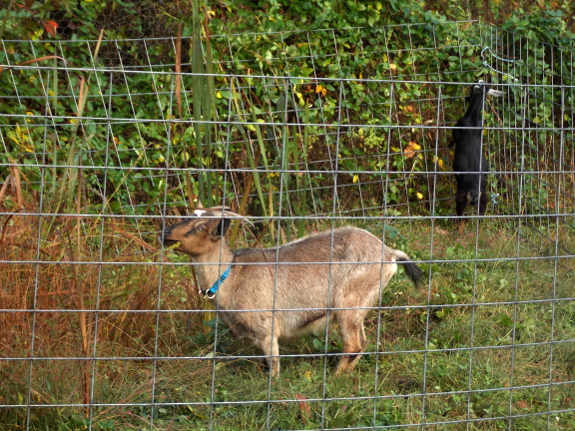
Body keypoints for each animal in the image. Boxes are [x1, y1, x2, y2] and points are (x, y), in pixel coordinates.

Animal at [162, 208, 424, 376]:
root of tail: (389, 253)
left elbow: (273, 365)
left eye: (200, 227)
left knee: (352, 346)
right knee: (362, 344)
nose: (165, 232)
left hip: (348, 302)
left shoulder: (266, 327)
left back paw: (334, 381)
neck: (231, 274)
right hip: (359, 307)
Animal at [450, 79, 504, 224]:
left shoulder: (457, 127)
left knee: (460, 212)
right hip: (484, 194)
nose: (467, 97)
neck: (473, 117)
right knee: (482, 209)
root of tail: (474, 189)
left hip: (461, 193)